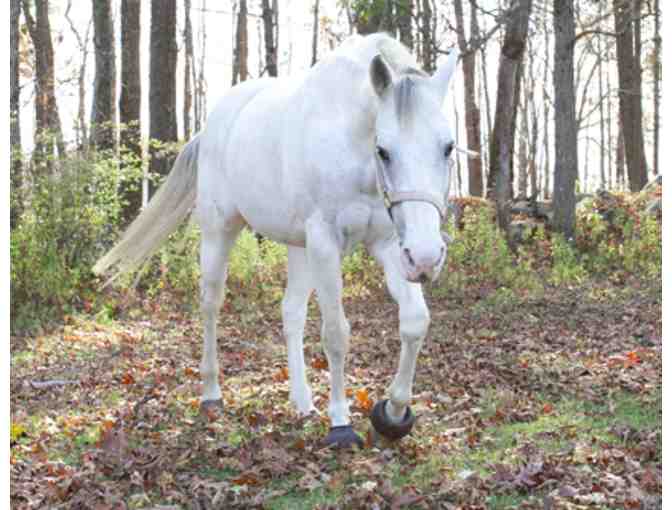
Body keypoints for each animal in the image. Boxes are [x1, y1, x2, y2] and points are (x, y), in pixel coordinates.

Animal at [94, 33, 460, 446]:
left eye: (448, 147)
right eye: (383, 150)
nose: (427, 258)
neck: (351, 143)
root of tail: (212, 127)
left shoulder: (388, 244)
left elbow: (414, 321)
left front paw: (394, 413)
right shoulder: (325, 243)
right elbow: (336, 333)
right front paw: (341, 423)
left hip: (299, 247)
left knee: (291, 313)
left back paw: (301, 400)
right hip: (220, 232)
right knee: (210, 305)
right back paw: (211, 393)